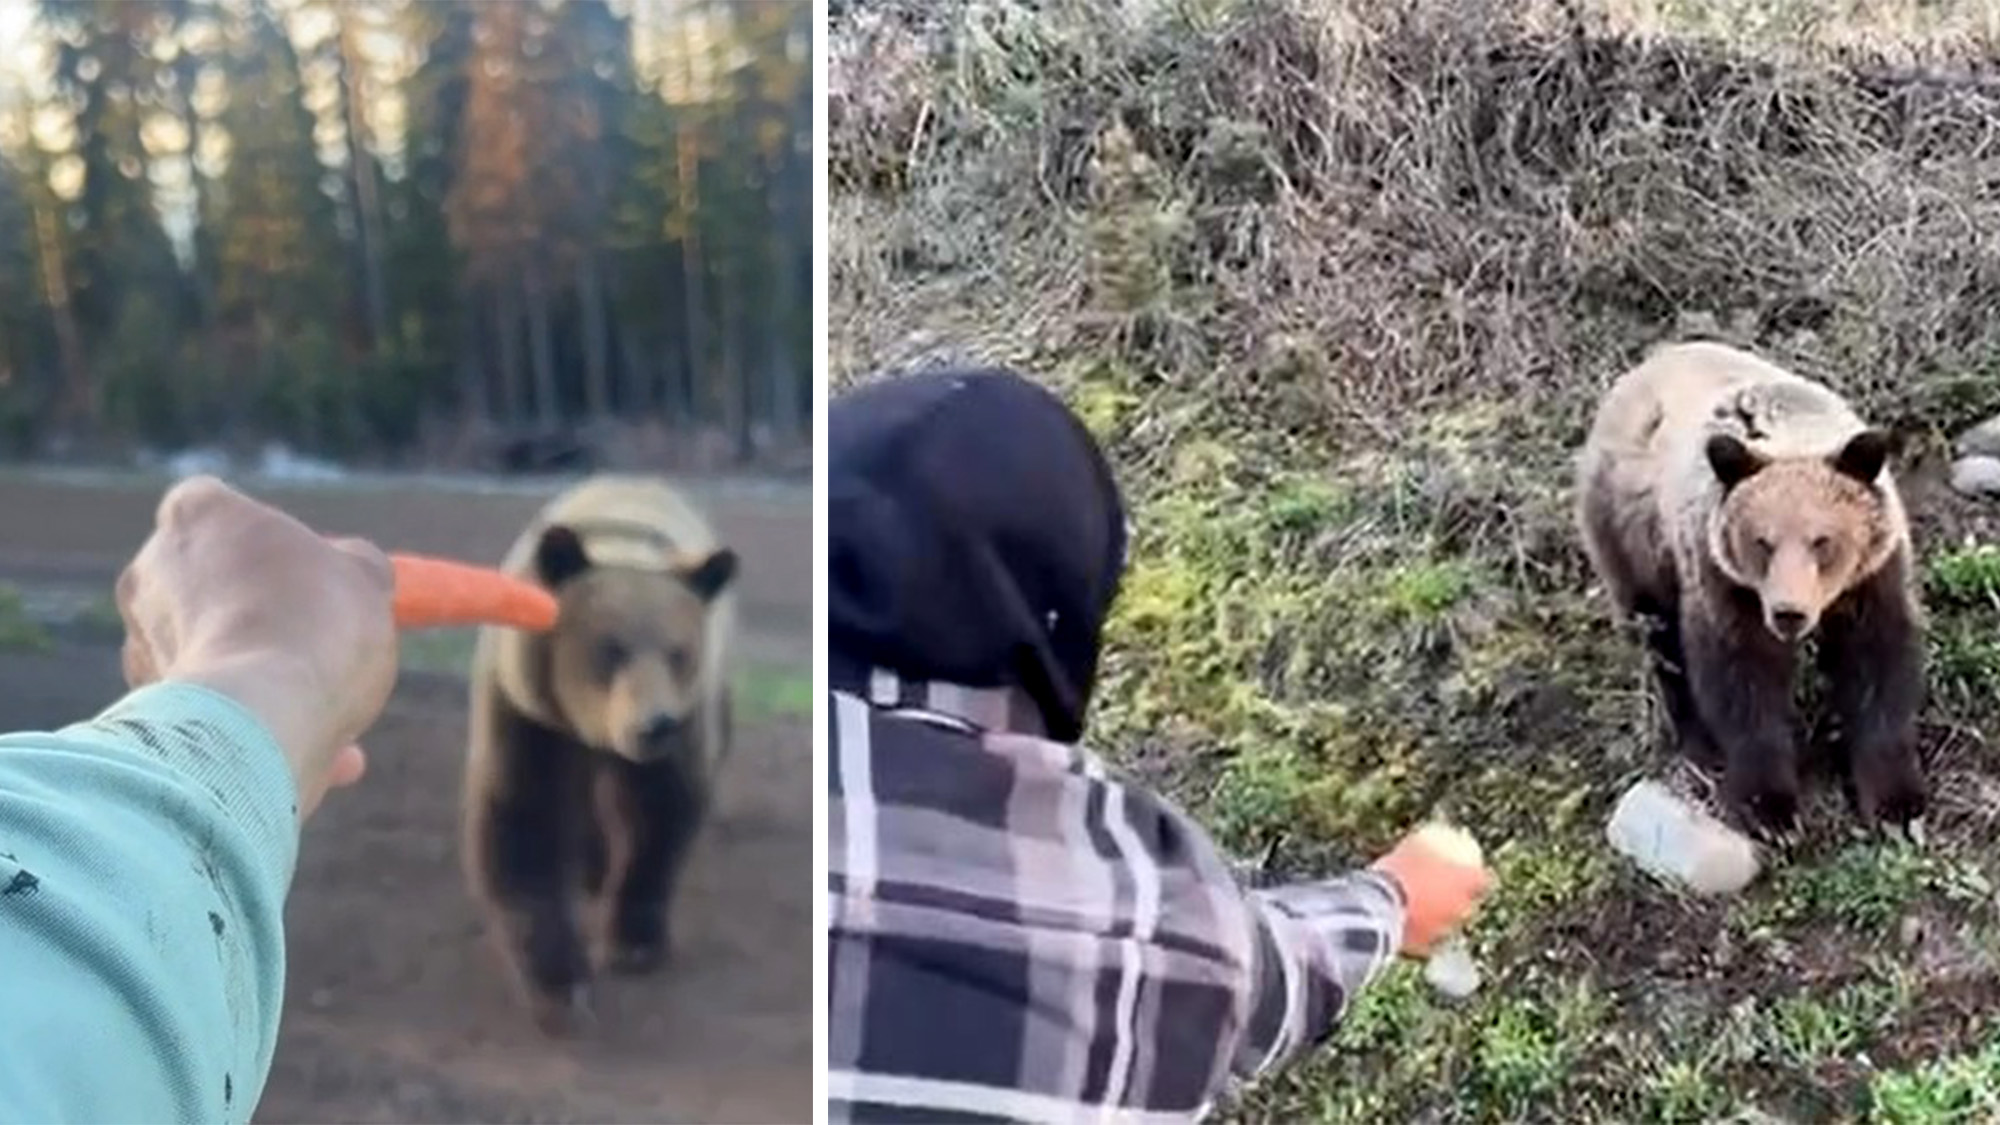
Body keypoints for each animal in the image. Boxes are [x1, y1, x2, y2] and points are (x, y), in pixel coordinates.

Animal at [461, 473, 739, 1034]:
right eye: (610, 649)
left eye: (678, 653)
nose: (654, 725)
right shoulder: (525, 712)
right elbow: (525, 823)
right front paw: (562, 986)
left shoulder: (687, 719)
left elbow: (661, 814)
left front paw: (634, 943)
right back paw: (590, 867)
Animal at [1575, 340, 1927, 842]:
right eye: (1762, 541)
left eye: (1823, 540)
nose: (1788, 612)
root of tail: (1639, 370)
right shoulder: (1725, 582)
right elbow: (1741, 681)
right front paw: (1771, 810)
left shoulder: (1872, 579)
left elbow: (1878, 670)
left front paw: (1898, 806)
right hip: (1631, 535)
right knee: (1660, 639)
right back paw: (1696, 741)